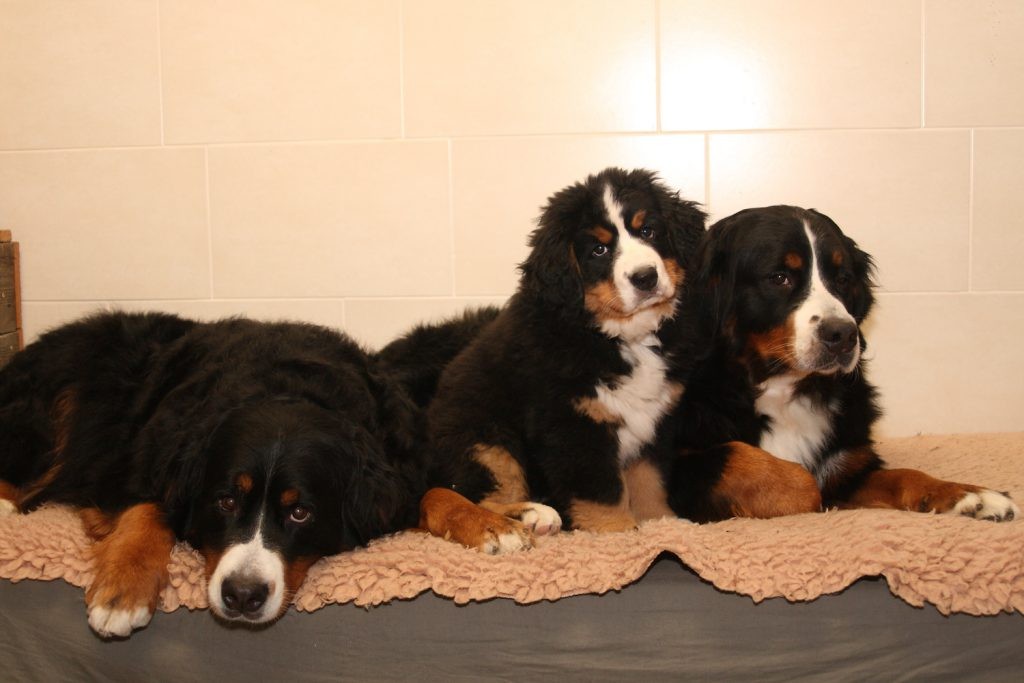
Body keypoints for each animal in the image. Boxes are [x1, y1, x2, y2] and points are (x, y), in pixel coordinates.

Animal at [0, 313, 430, 638]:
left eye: (300, 513)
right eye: (225, 501)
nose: (242, 595)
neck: (284, 385)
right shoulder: (123, 469)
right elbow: (149, 509)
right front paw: (122, 592)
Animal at [403, 166, 708, 557]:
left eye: (648, 231)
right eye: (599, 249)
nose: (646, 277)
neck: (618, 335)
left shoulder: (656, 421)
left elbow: (648, 480)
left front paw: (663, 523)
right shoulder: (571, 423)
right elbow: (602, 491)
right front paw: (619, 534)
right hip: (483, 439)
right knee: (470, 494)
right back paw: (524, 519)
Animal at [663, 208, 1015, 524]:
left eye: (843, 279)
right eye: (779, 277)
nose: (843, 334)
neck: (783, 390)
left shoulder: (847, 462)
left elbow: (904, 476)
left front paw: (969, 496)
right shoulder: (678, 464)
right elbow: (793, 478)